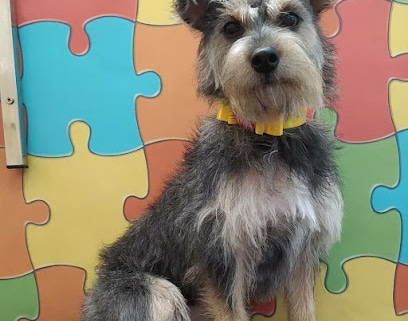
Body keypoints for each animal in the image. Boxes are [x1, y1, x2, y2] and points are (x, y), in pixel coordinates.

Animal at [83, 0, 344, 320]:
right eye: (230, 28)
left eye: (291, 18)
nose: (264, 57)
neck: (267, 135)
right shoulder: (223, 254)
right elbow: (231, 309)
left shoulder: (302, 252)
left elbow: (303, 309)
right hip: (157, 293)